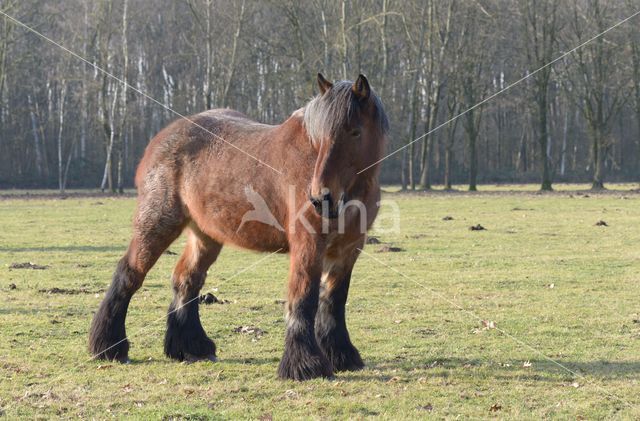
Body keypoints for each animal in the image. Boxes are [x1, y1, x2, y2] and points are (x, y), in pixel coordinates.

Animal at [89, 73, 390, 380]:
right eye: (319, 136)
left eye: (355, 132)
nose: (321, 198)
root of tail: (163, 138)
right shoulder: (308, 244)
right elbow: (303, 297)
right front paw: (305, 365)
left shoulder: (348, 248)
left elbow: (334, 300)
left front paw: (341, 356)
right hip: (157, 223)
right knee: (129, 273)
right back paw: (109, 347)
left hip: (205, 235)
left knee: (186, 279)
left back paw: (192, 347)